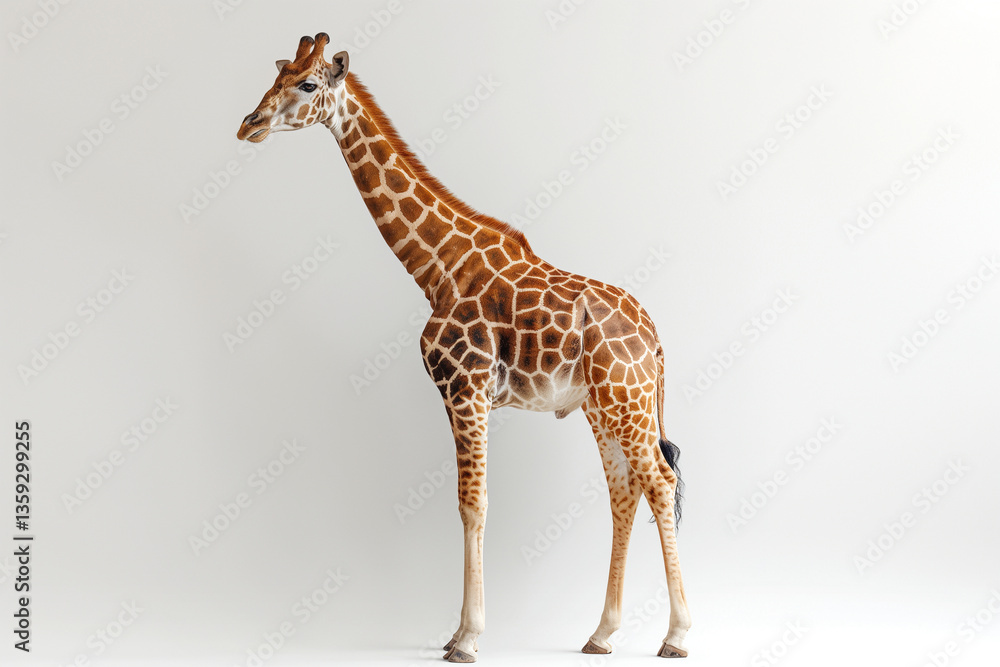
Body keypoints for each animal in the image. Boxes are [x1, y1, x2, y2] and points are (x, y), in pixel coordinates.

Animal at [237, 33, 691, 662]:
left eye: (306, 84)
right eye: (275, 77)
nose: (248, 125)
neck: (436, 269)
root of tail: (655, 339)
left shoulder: (465, 388)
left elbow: (472, 504)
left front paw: (468, 639)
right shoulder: (465, 395)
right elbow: (467, 503)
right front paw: (457, 632)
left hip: (626, 402)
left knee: (661, 483)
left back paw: (676, 636)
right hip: (605, 407)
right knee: (625, 492)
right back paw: (601, 634)